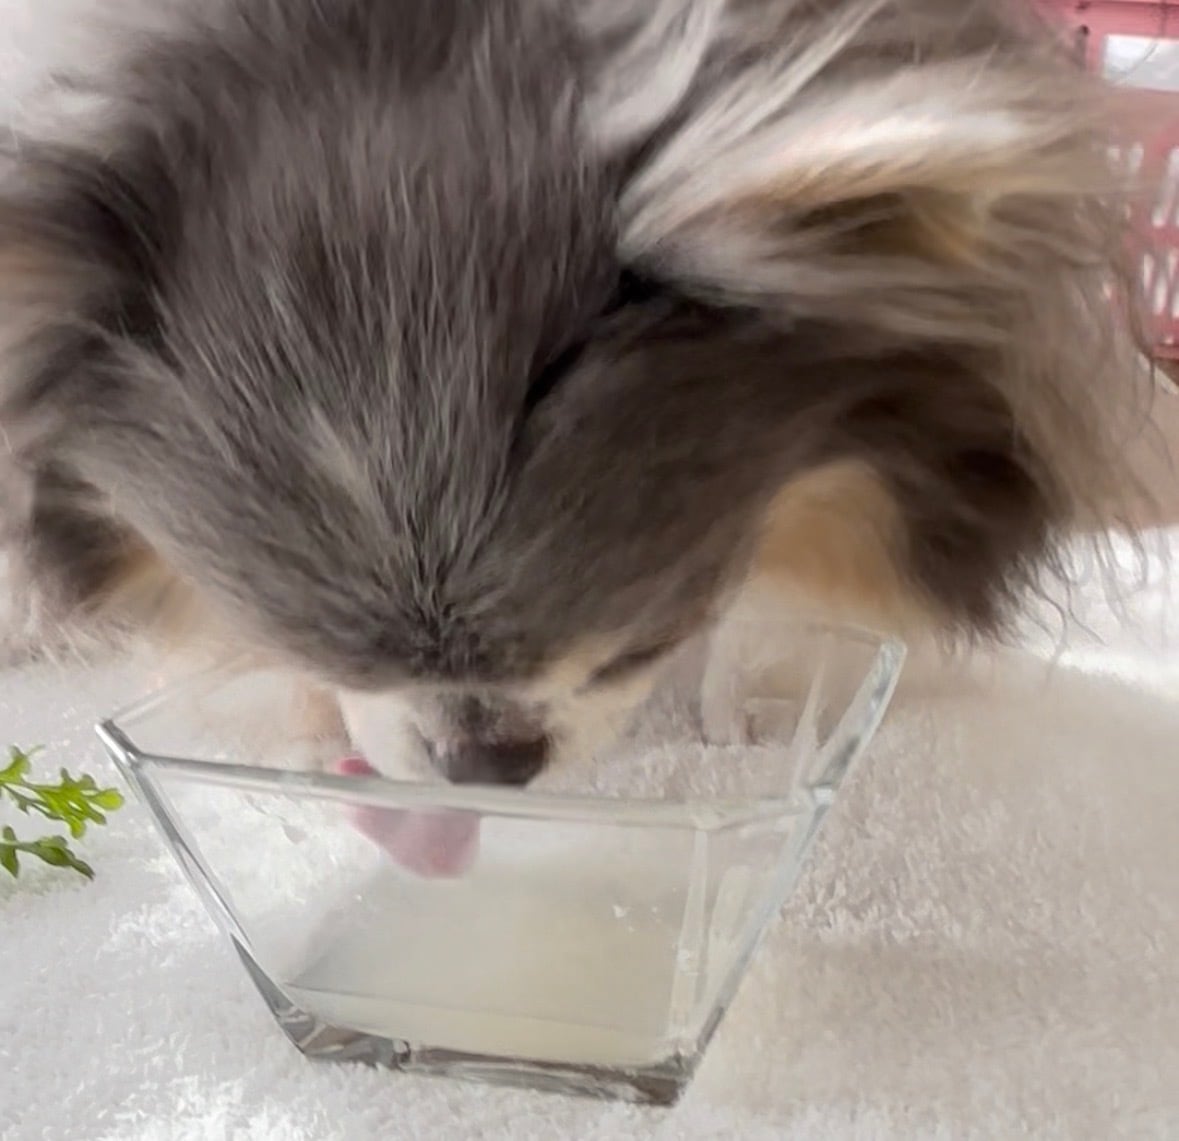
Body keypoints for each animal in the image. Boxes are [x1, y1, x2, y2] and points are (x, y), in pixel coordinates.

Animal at [0, 0, 1150, 797]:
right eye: (322, 644)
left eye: (636, 642)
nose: (488, 766)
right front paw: (313, 724)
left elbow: (749, 606)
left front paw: (724, 715)